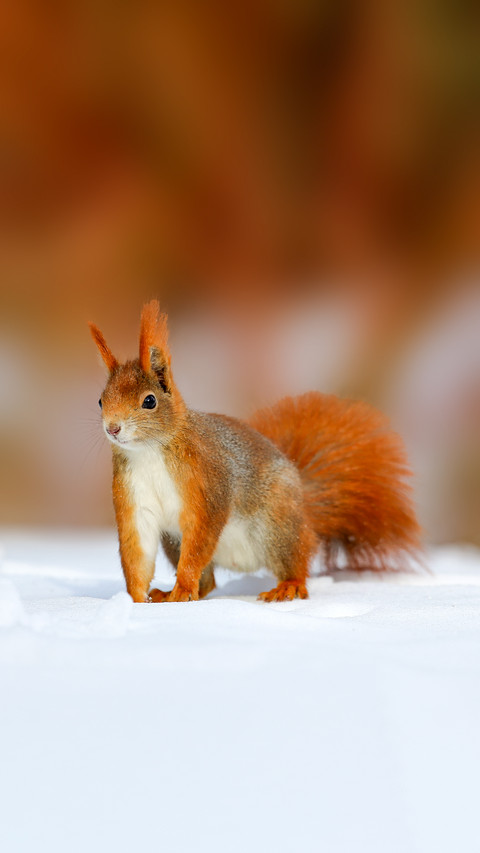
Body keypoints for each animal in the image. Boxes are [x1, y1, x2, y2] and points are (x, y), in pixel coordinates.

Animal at [89, 299, 421, 603]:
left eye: (149, 401)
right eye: (101, 401)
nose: (113, 428)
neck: (149, 452)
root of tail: (304, 509)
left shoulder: (209, 488)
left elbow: (198, 544)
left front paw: (181, 588)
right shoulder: (134, 501)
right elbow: (137, 552)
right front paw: (134, 600)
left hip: (277, 525)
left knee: (295, 563)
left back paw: (287, 587)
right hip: (174, 540)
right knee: (209, 582)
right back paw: (171, 594)